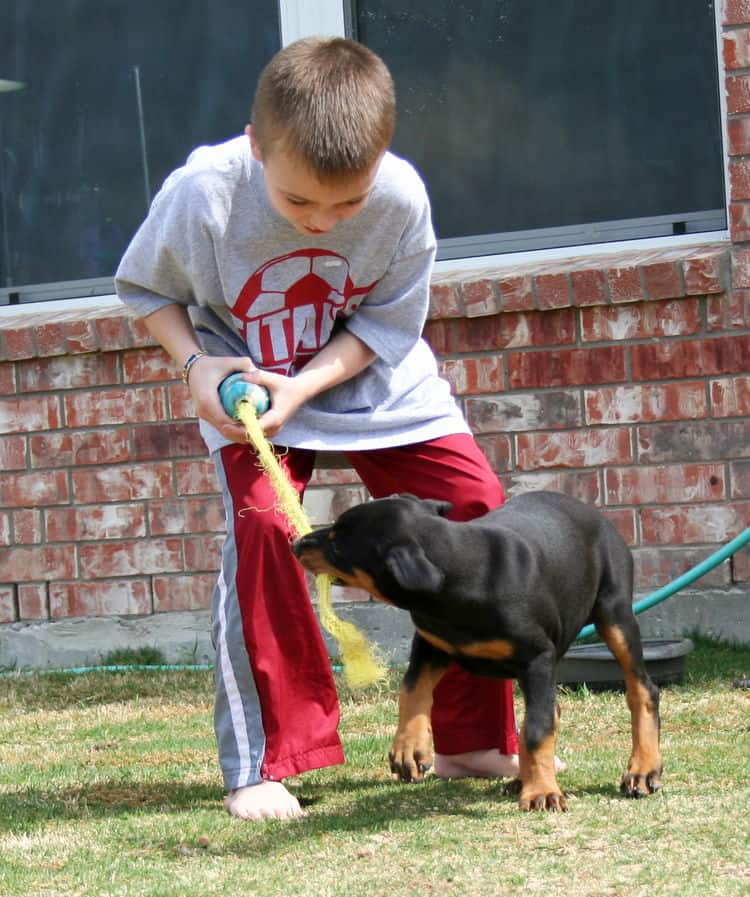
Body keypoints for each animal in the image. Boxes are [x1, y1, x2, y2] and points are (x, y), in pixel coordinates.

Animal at [290, 490, 660, 812]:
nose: (295, 544)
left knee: (641, 689)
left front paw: (542, 792)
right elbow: (412, 689)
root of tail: (595, 514)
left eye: (338, 543)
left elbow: (537, 729)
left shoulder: (538, 657)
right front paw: (410, 748)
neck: (461, 571)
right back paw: (521, 778)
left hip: (614, 613)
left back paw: (641, 771)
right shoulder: (431, 642)